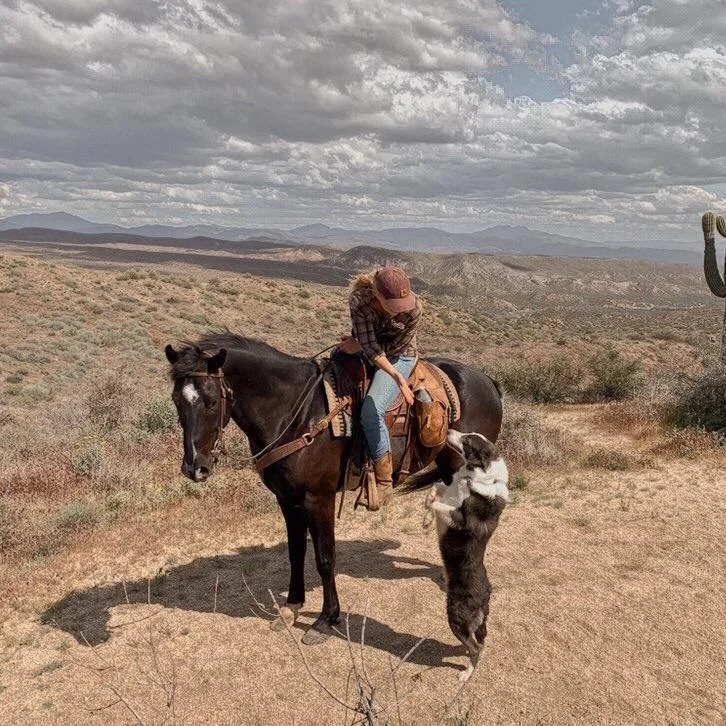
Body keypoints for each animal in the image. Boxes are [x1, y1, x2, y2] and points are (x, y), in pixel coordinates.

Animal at [165, 331, 502, 644]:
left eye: (211, 402)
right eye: (177, 401)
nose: (194, 468)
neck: (295, 413)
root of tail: (487, 379)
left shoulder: (319, 499)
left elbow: (325, 558)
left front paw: (326, 620)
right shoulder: (287, 500)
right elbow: (296, 552)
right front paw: (292, 606)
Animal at [425, 430, 509, 682]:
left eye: (467, 440)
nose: (449, 430)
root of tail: (486, 597)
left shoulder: (460, 518)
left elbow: (438, 505)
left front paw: (428, 515)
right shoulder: (448, 490)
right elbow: (434, 489)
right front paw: (425, 520)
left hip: (456, 618)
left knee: (475, 647)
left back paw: (466, 674)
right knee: (479, 640)